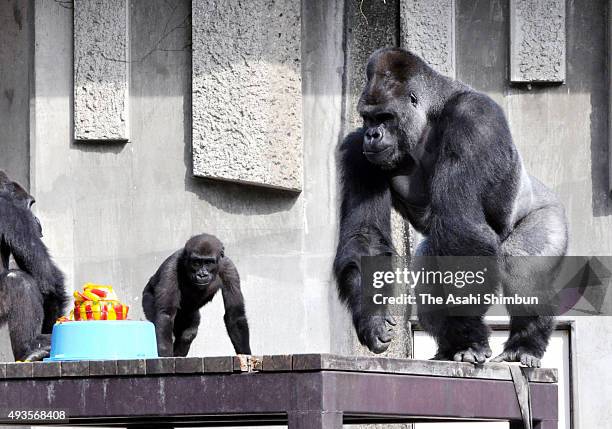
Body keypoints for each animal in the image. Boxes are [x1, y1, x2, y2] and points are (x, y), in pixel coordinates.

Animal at [0, 171, 67, 362]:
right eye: (29, 205)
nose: (36, 219)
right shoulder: (13, 214)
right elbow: (47, 279)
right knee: (19, 281)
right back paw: (29, 348)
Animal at [334, 48, 568, 366]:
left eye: (385, 117)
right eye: (367, 118)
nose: (372, 135)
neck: (427, 121)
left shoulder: (474, 118)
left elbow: (460, 229)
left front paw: (471, 336)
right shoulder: (358, 151)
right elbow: (365, 236)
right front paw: (372, 318)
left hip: (550, 216)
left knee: (520, 260)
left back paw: (526, 344)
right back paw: (449, 346)